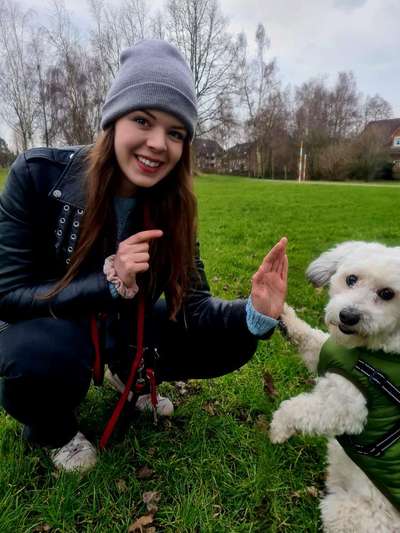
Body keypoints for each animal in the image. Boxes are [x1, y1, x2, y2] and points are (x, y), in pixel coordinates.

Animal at [270, 242, 400, 532]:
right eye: (351, 279)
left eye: (387, 294)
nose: (348, 316)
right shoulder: (328, 353)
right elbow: (309, 337)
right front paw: (282, 312)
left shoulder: (347, 409)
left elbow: (296, 409)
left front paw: (278, 430)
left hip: (344, 512)